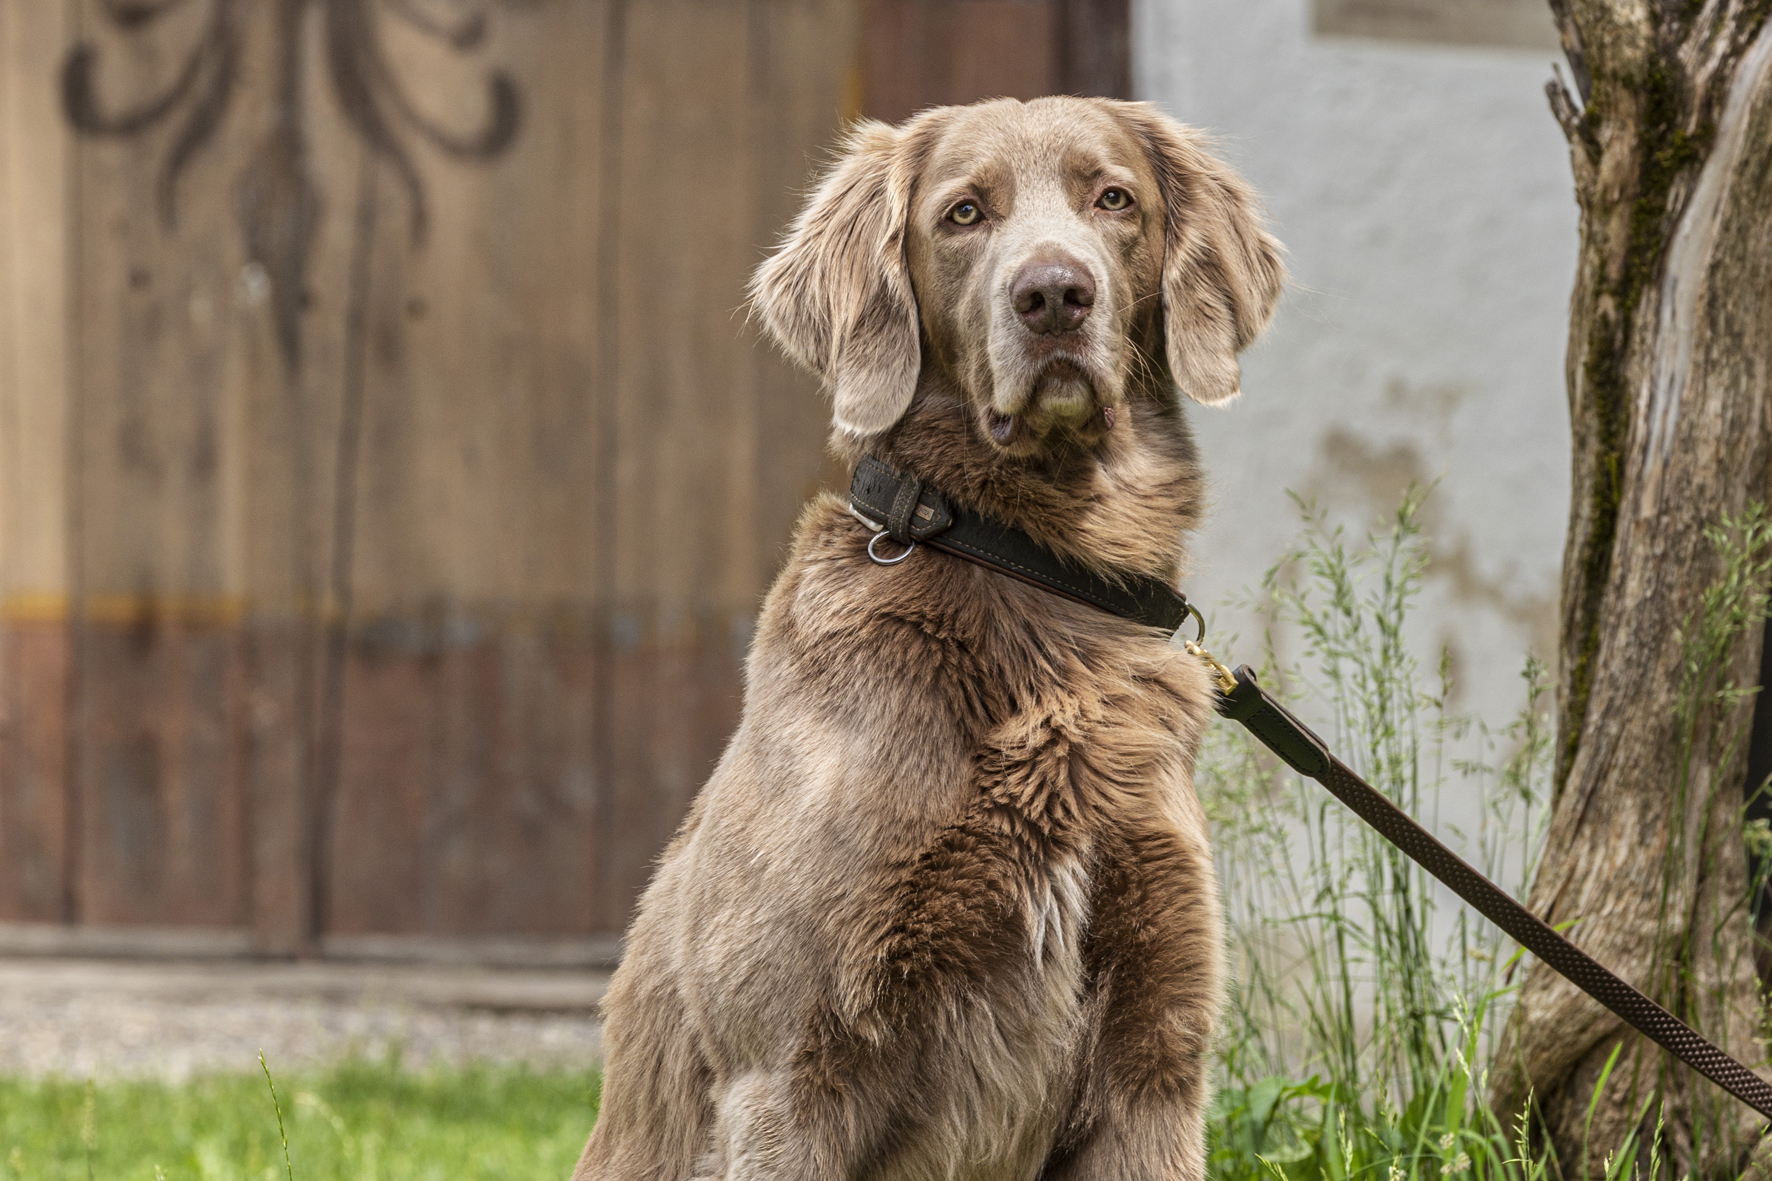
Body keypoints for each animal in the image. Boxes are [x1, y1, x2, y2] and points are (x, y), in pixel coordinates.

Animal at [574, 98, 1282, 1177]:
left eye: (1113, 198)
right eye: (962, 214)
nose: (1053, 294)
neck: (1034, 574)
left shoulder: (1154, 1060)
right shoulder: (787, 1069)